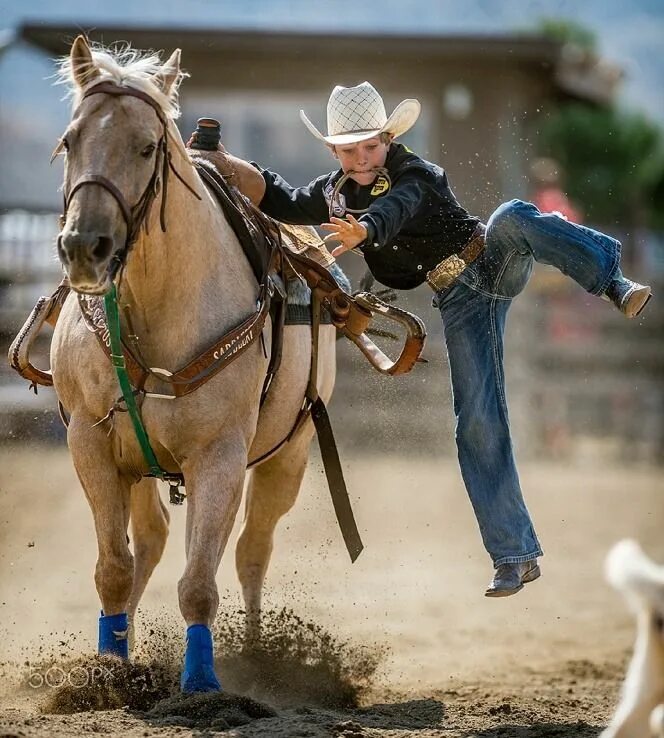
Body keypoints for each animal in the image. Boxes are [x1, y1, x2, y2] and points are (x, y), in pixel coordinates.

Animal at [50, 34, 338, 688]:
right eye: (70, 140)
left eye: (147, 146)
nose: (84, 247)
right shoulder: (91, 444)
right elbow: (114, 567)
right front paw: (109, 669)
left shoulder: (219, 455)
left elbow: (200, 584)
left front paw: (202, 684)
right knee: (152, 543)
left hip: (289, 453)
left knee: (251, 549)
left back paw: (255, 654)